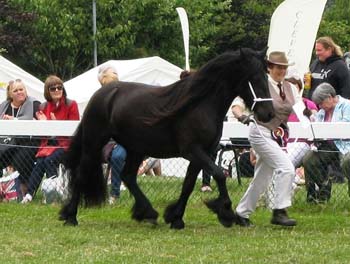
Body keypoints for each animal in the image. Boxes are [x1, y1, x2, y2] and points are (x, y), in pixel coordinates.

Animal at [58, 47, 274, 229]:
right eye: (254, 78)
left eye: (266, 76)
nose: (268, 114)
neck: (199, 105)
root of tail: (103, 93)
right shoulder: (194, 151)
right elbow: (219, 174)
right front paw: (226, 213)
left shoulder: (202, 154)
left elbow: (188, 185)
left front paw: (175, 218)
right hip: (94, 143)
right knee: (82, 174)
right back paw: (71, 217)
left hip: (136, 149)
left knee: (128, 177)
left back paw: (148, 213)